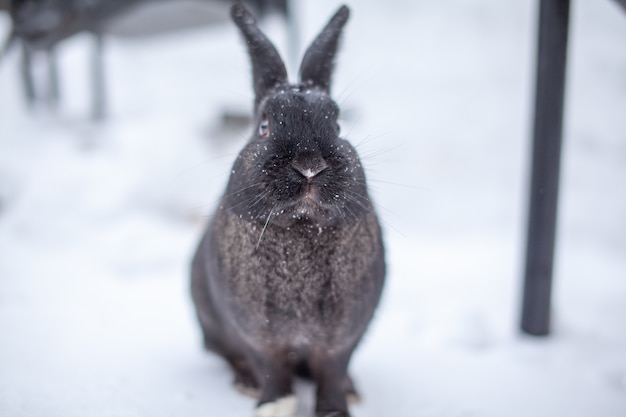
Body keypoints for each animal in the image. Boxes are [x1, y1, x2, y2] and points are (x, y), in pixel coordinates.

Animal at [190, 4, 382, 416]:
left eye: (338, 124)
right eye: (264, 126)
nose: (310, 165)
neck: (303, 227)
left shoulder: (340, 341)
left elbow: (331, 374)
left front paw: (334, 409)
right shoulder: (260, 339)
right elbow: (271, 371)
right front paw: (274, 406)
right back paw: (245, 383)